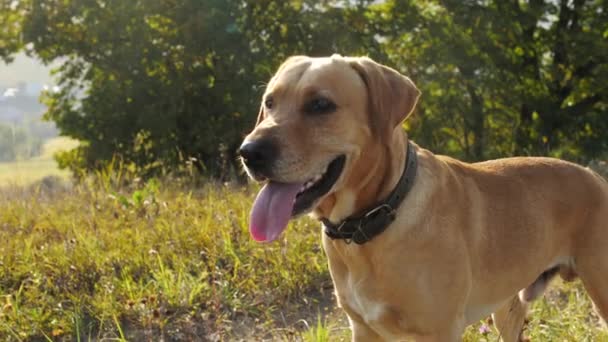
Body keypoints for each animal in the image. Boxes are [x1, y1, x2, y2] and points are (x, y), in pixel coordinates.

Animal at [238, 54, 608, 340]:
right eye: (269, 102)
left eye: (320, 104)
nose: (249, 152)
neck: (374, 219)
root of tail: (595, 176)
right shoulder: (364, 330)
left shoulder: (440, 331)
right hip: (506, 305)